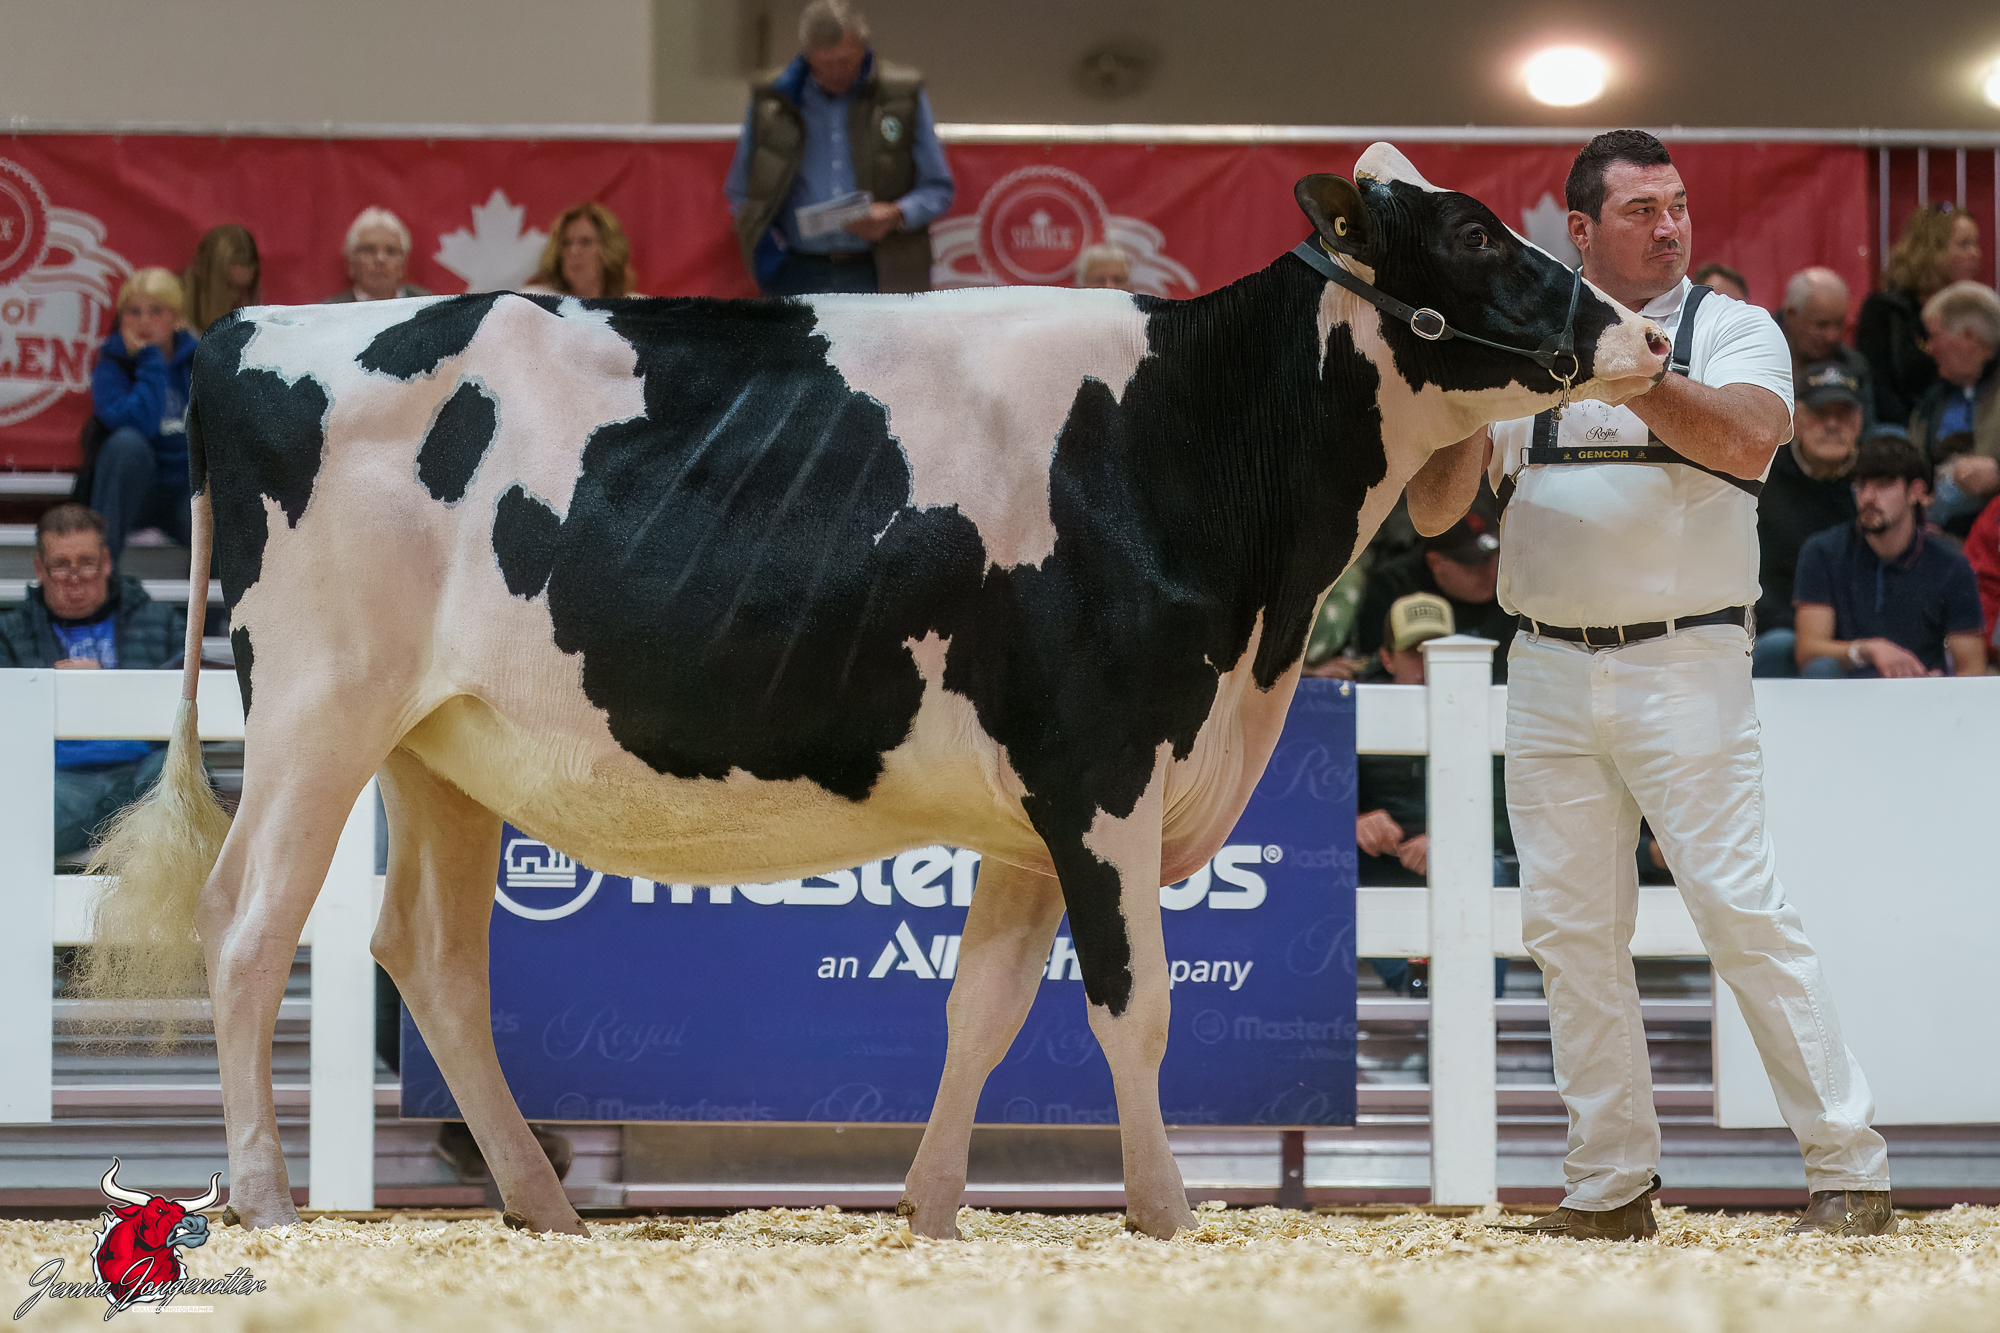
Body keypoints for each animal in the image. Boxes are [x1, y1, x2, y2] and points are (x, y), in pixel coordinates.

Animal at [83, 144, 1667, 1241]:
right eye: (1469, 231)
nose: (1648, 336)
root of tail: (249, 332)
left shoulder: (1035, 808)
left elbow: (983, 1006)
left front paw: (932, 1204)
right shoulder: (1099, 766)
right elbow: (1133, 1003)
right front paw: (1164, 1211)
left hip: (437, 746)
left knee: (433, 955)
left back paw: (539, 1203)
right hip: (316, 711)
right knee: (248, 926)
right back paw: (271, 1199)